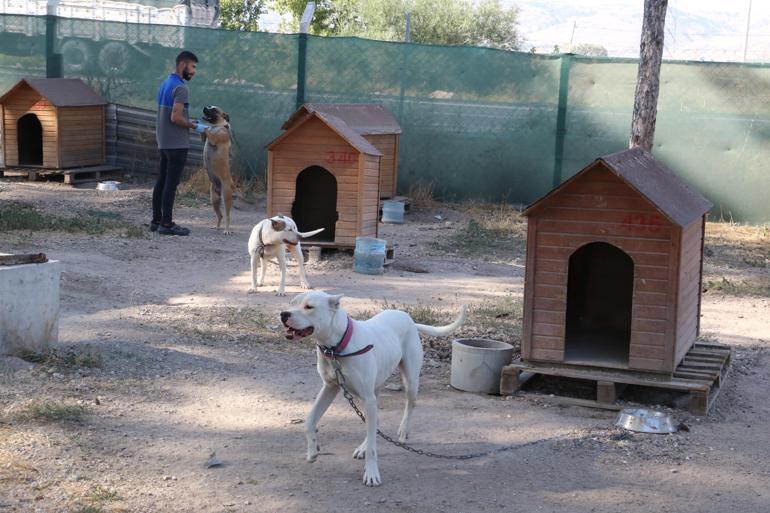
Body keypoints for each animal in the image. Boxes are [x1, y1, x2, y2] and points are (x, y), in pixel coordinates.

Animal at [198, 105, 234, 233]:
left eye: (214, 109)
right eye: (209, 106)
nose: (204, 107)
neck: (217, 126)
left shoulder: (214, 138)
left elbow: (207, 131)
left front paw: (203, 126)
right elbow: (204, 134)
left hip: (226, 197)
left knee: (227, 215)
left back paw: (226, 230)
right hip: (214, 200)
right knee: (220, 215)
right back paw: (217, 227)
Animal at [280, 290, 464, 486]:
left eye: (309, 307)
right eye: (291, 303)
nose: (284, 314)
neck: (337, 346)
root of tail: (409, 320)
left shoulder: (366, 398)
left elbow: (373, 448)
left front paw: (371, 473)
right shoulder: (330, 387)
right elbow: (309, 420)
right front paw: (312, 450)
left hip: (409, 382)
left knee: (409, 405)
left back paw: (403, 431)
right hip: (374, 390)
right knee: (374, 422)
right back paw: (363, 446)